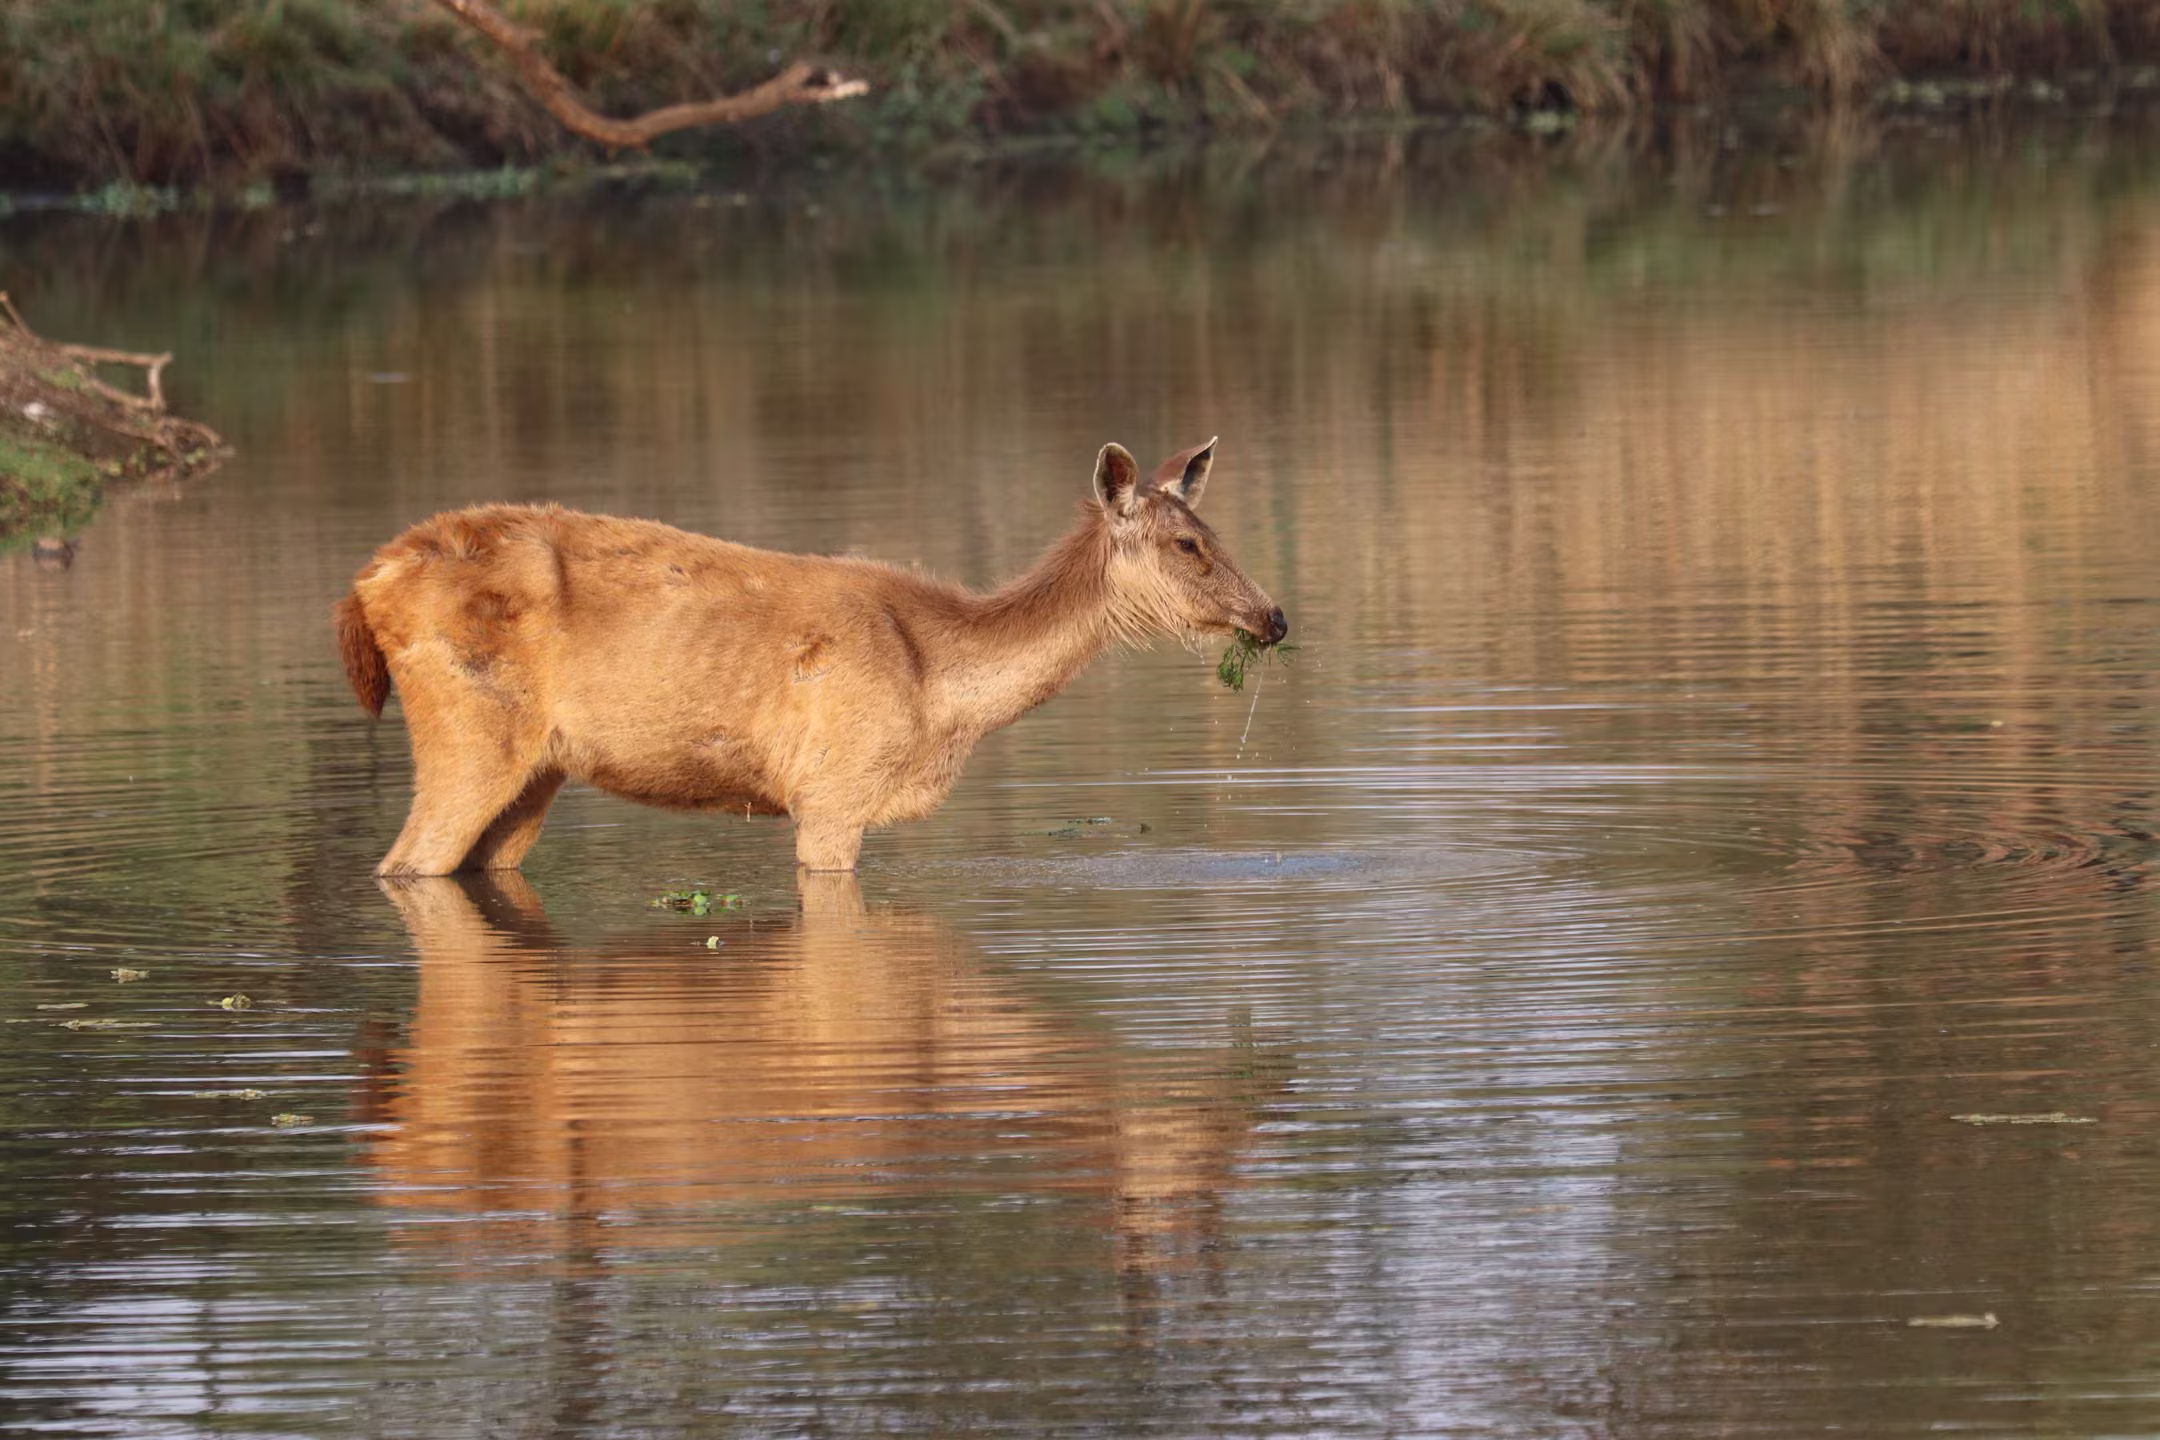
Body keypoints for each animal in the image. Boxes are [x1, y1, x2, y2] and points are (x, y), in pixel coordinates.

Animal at [334, 438, 1287, 876]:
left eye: (1212, 530)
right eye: (1188, 544)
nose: (1273, 618)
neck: (941, 688)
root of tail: (365, 585)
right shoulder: (834, 783)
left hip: (537, 770)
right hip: (465, 725)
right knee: (403, 863)